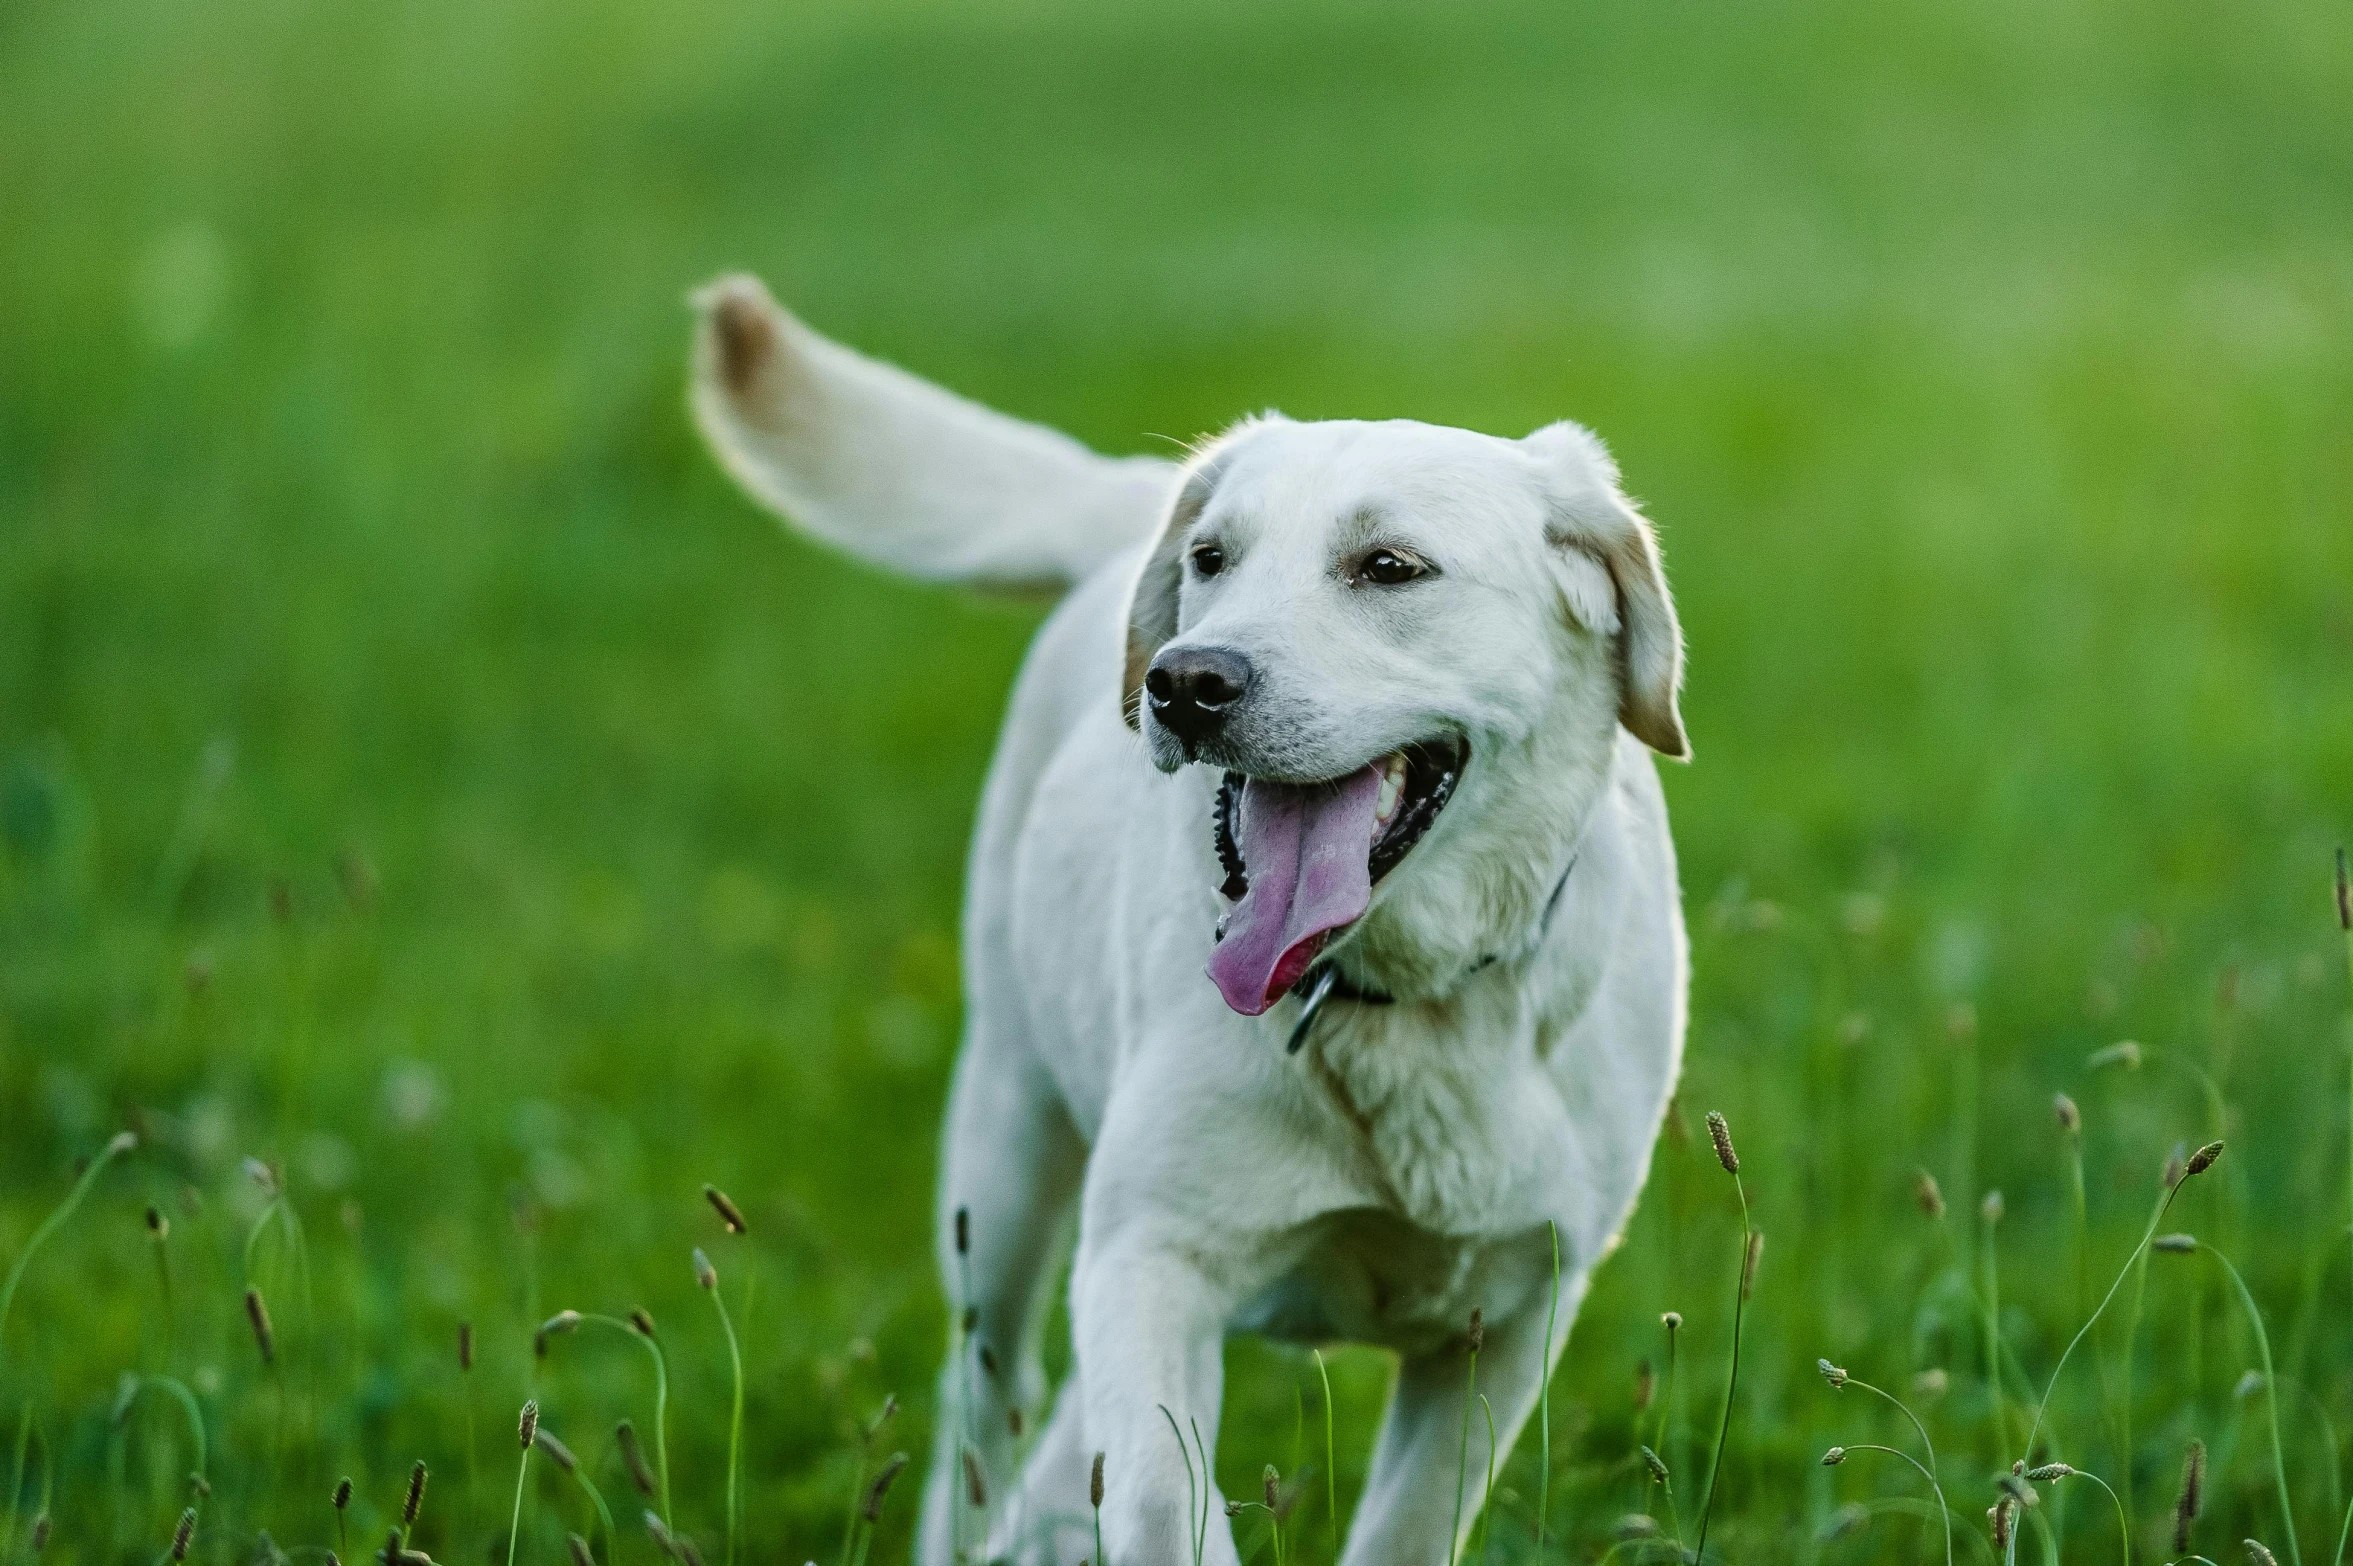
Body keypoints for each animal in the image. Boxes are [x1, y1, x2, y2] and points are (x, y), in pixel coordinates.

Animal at [687, 280, 1684, 1561]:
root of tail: (1131, 494)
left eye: (1390, 567)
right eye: (1214, 560)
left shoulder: (1509, 1319)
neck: (1391, 999)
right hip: (1004, 1155)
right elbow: (1165, 1497)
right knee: (986, 1416)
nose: (1184, 680)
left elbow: (1405, 1525)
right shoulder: (1151, 1259)